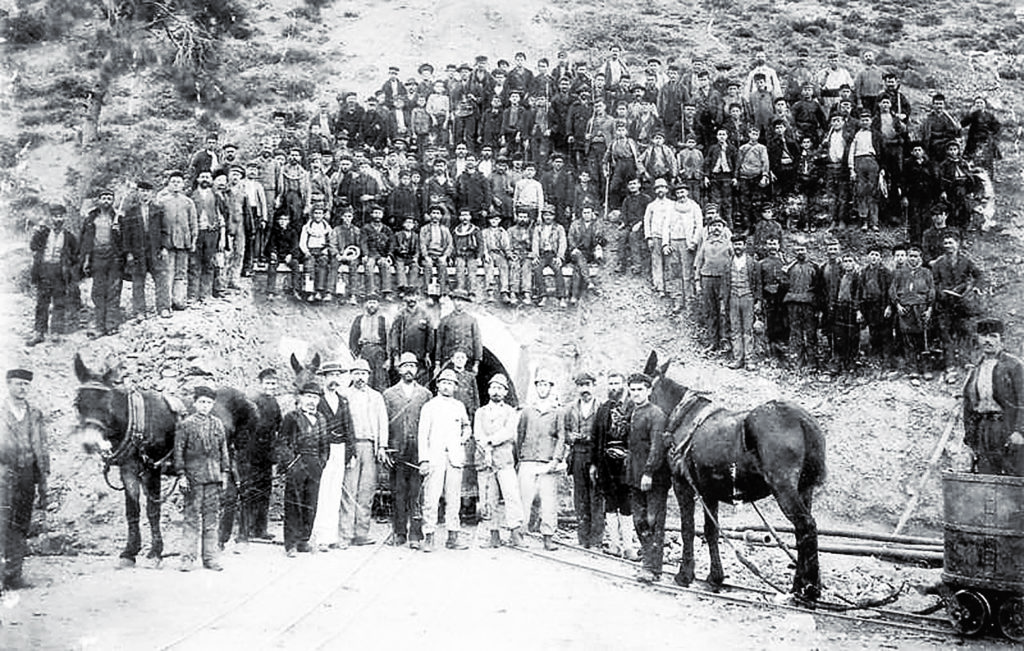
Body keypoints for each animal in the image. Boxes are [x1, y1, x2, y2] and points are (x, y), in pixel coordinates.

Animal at [73, 356, 260, 565]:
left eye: (106, 405)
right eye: (78, 404)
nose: (89, 444)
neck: (138, 419)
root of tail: (247, 399)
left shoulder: (152, 468)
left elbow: (152, 510)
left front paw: (155, 552)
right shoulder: (128, 470)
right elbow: (132, 510)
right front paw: (129, 552)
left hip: (243, 455)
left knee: (245, 490)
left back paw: (242, 540)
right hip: (228, 459)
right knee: (232, 493)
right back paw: (221, 540)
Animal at [647, 350, 823, 601]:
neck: (682, 417)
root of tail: (802, 421)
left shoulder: (683, 485)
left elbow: (688, 528)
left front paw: (685, 575)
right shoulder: (708, 492)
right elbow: (710, 531)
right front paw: (715, 577)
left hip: (784, 488)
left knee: (806, 526)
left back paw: (808, 590)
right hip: (804, 488)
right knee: (803, 532)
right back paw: (800, 586)